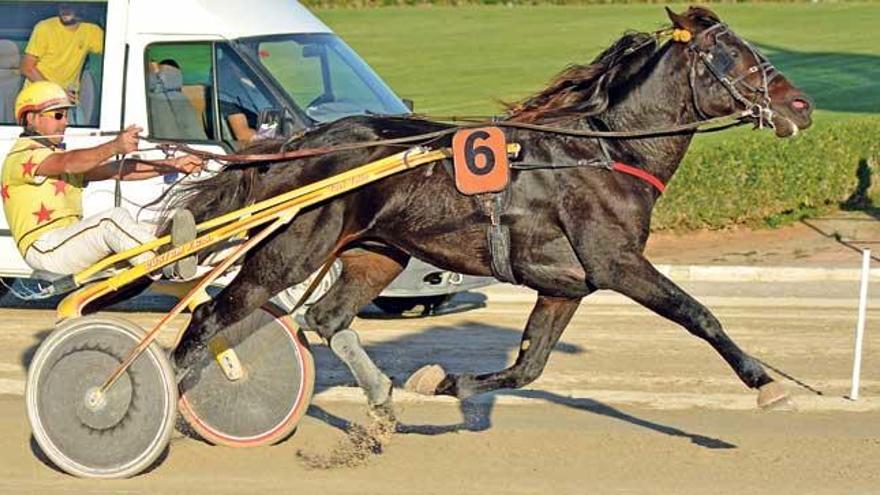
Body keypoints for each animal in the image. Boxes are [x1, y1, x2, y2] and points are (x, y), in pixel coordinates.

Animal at [174, 6, 820, 418]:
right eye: (734, 57)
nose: (802, 105)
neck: (608, 150)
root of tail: (304, 140)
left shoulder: (565, 285)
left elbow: (528, 366)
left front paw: (443, 381)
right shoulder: (615, 264)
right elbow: (698, 313)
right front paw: (765, 383)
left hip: (377, 254)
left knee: (326, 318)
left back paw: (381, 400)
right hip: (291, 250)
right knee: (209, 318)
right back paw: (171, 403)